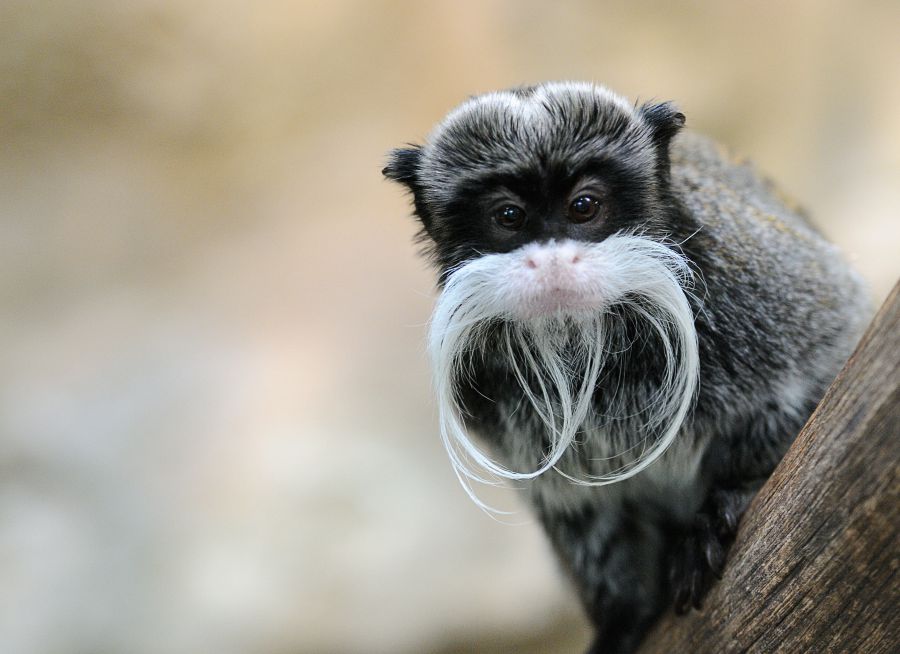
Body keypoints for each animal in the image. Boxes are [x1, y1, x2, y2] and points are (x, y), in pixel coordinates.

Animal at [382, 82, 872, 654]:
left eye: (584, 206)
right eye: (508, 216)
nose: (552, 261)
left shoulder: (753, 281)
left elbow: (820, 370)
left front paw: (727, 502)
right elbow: (584, 515)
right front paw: (622, 618)